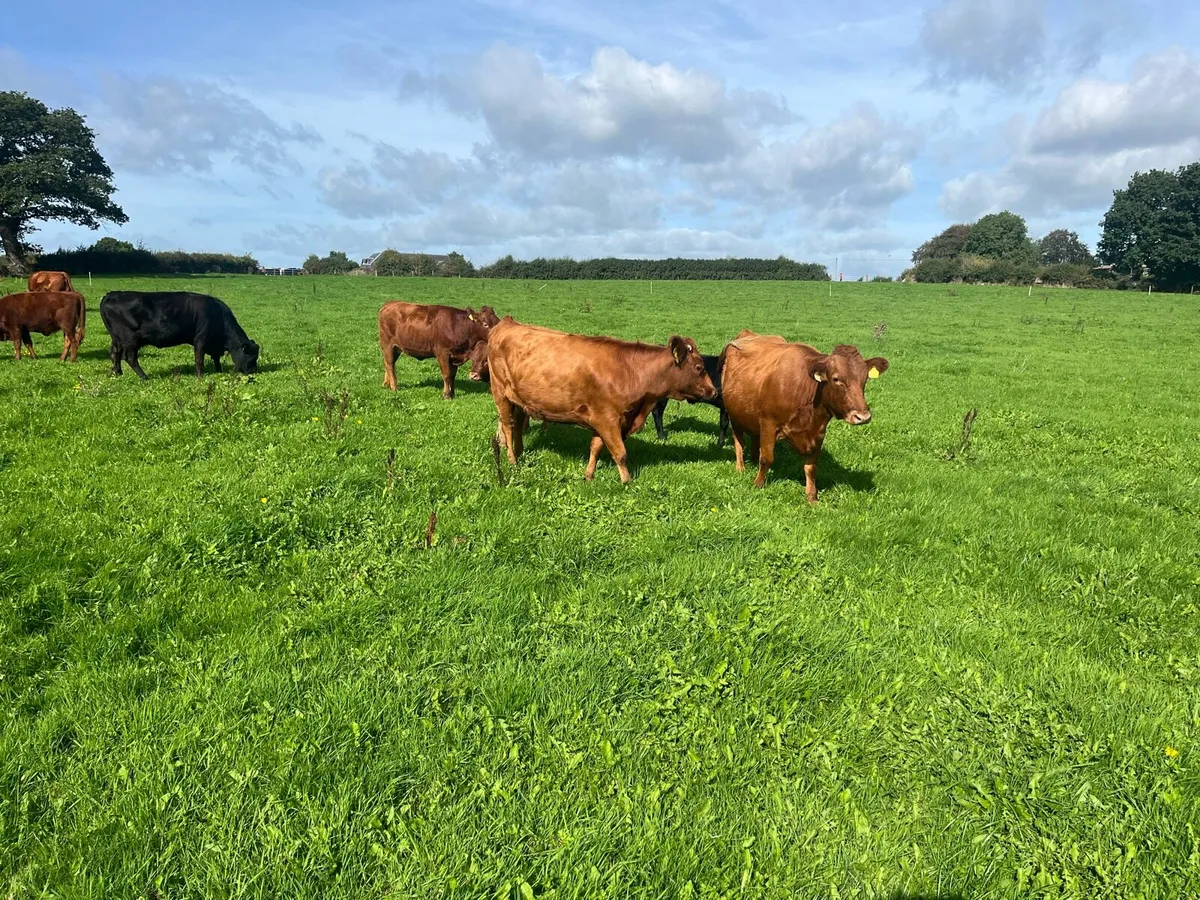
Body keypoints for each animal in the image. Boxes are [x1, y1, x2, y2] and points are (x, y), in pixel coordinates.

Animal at [99, 291, 259, 379]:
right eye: (251, 357)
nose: (253, 371)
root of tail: (111, 294)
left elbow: (216, 358)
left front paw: (219, 371)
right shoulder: (201, 339)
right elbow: (199, 360)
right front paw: (200, 377)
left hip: (117, 339)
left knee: (115, 353)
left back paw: (118, 373)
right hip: (130, 339)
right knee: (130, 357)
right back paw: (144, 377)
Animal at [486, 317, 717, 483]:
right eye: (699, 368)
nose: (714, 391)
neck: (630, 372)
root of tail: (506, 323)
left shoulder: (601, 420)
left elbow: (596, 447)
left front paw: (589, 475)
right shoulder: (607, 419)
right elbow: (620, 453)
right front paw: (627, 482)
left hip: (519, 400)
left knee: (517, 426)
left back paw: (520, 453)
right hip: (501, 394)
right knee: (508, 427)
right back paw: (512, 460)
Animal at [719, 330, 888, 502]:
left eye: (865, 379)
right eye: (836, 378)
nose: (863, 416)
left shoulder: (818, 432)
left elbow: (811, 467)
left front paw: (812, 496)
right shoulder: (768, 423)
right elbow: (766, 458)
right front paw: (758, 484)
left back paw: (753, 460)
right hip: (735, 415)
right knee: (739, 442)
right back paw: (741, 467)